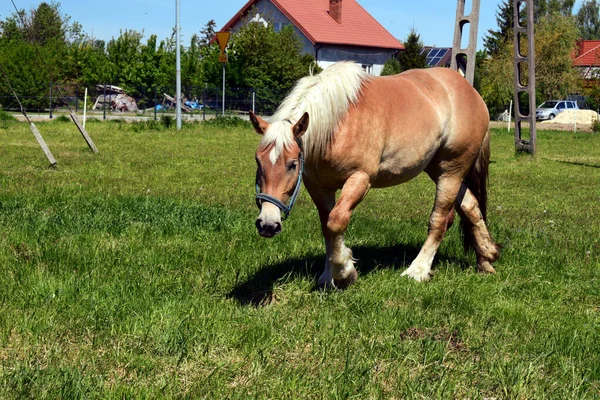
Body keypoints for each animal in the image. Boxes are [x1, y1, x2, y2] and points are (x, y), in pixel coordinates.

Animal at [251, 61, 500, 290]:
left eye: (292, 164)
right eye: (258, 161)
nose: (267, 224)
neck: (337, 123)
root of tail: (470, 91)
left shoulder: (360, 179)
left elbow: (336, 222)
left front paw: (344, 272)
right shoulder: (319, 186)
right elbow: (327, 226)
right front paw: (329, 274)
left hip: (451, 172)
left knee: (439, 220)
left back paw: (418, 270)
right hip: (439, 170)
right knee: (470, 207)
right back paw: (487, 258)